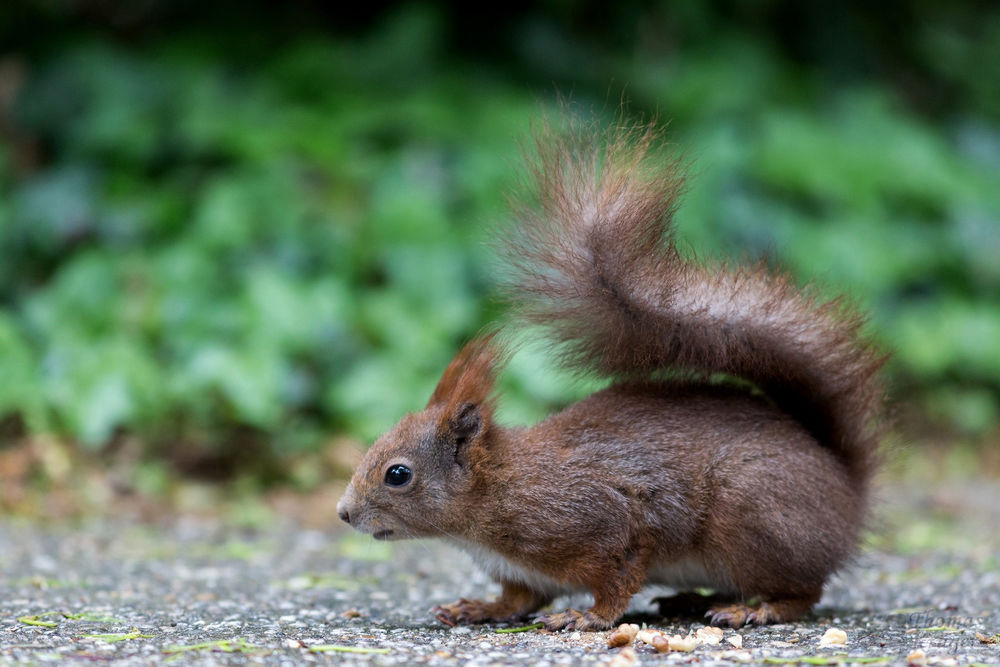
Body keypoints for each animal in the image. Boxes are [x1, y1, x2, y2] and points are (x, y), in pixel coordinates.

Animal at [336, 119, 886, 631]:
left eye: (398, 474)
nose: (343, 514)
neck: (496, 493)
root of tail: (847, 492)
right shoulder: (524, 574)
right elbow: (517, 601)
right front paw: (477, 607)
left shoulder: (603, 522)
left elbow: (619, 577)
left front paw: (588, 618)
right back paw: (695, 599)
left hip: (753, 522)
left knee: (805, 592)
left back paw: (756, 609)